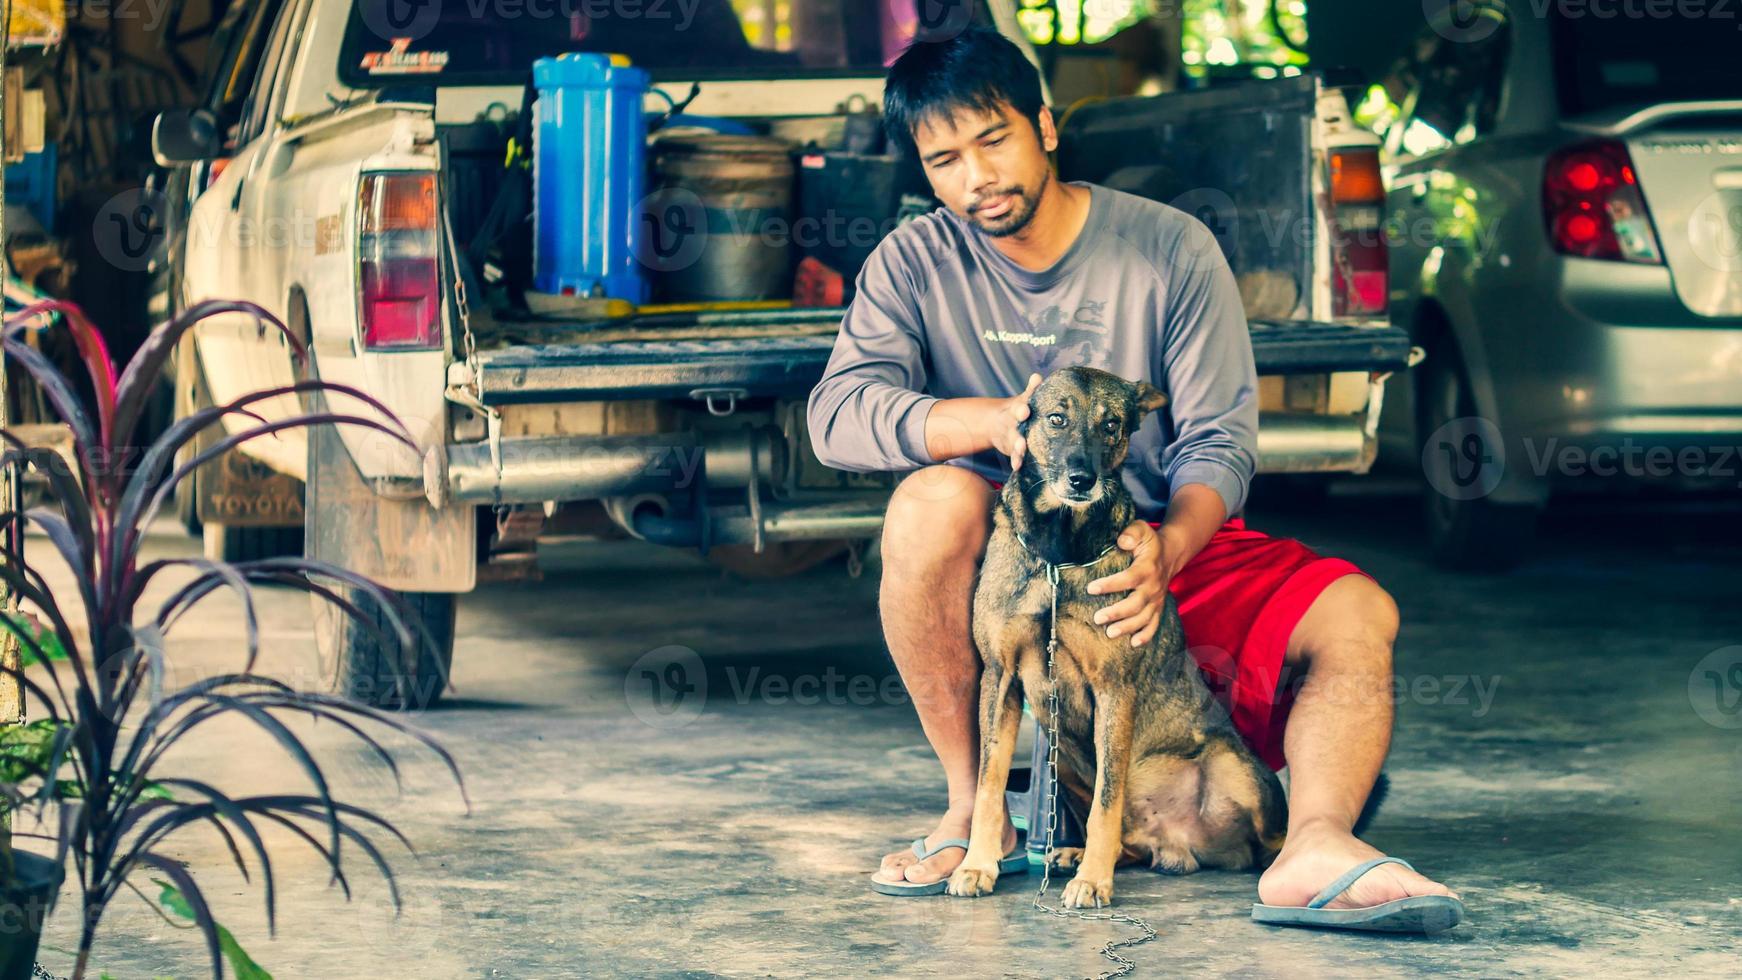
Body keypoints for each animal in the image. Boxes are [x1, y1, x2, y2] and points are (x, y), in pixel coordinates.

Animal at [947, 369, 1289, 912]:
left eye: (1112, 425)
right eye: (1056, 419)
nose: (1081, 480)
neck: (1058, 554)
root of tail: (1181, 844)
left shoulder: (1113, 690)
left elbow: (1108, 799)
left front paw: (1093, 882)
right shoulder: (998, 680)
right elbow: (988, 783)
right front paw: (977, 865)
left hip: (1240, 769)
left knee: (1271, 838)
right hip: (1066, 764)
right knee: (1126, 838)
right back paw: (1076, 854)